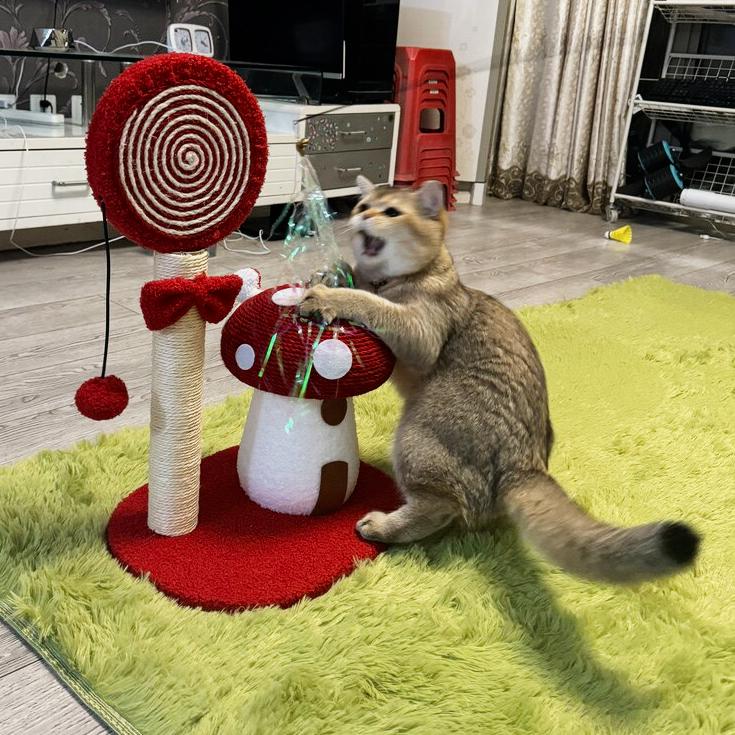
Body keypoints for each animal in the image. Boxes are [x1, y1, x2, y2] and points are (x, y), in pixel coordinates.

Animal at [299, 176, 700, 584]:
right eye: (363, 205)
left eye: (392, 212)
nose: (363, 215)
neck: (411, 275)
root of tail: (524, 465)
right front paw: (331, 271)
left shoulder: (419, 332)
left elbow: (369, 302)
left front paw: (328, 295)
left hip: (418, 429)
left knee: (438, 506)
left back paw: (382, 527)